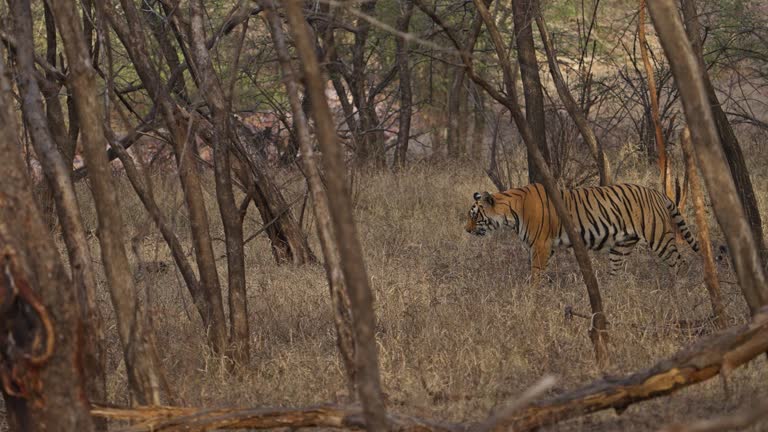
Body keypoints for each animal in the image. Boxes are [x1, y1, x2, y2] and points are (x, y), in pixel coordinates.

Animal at [464, 183, 700, 286]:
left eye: (475, 216)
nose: (466, 230)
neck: (511, 211)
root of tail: (657, 192)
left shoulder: (540, 244)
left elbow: (536, 271)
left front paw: (533, 292)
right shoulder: (546, 246)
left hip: (659, 236)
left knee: (680, 263)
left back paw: (680, 289)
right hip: (622, 245)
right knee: (617, 271)